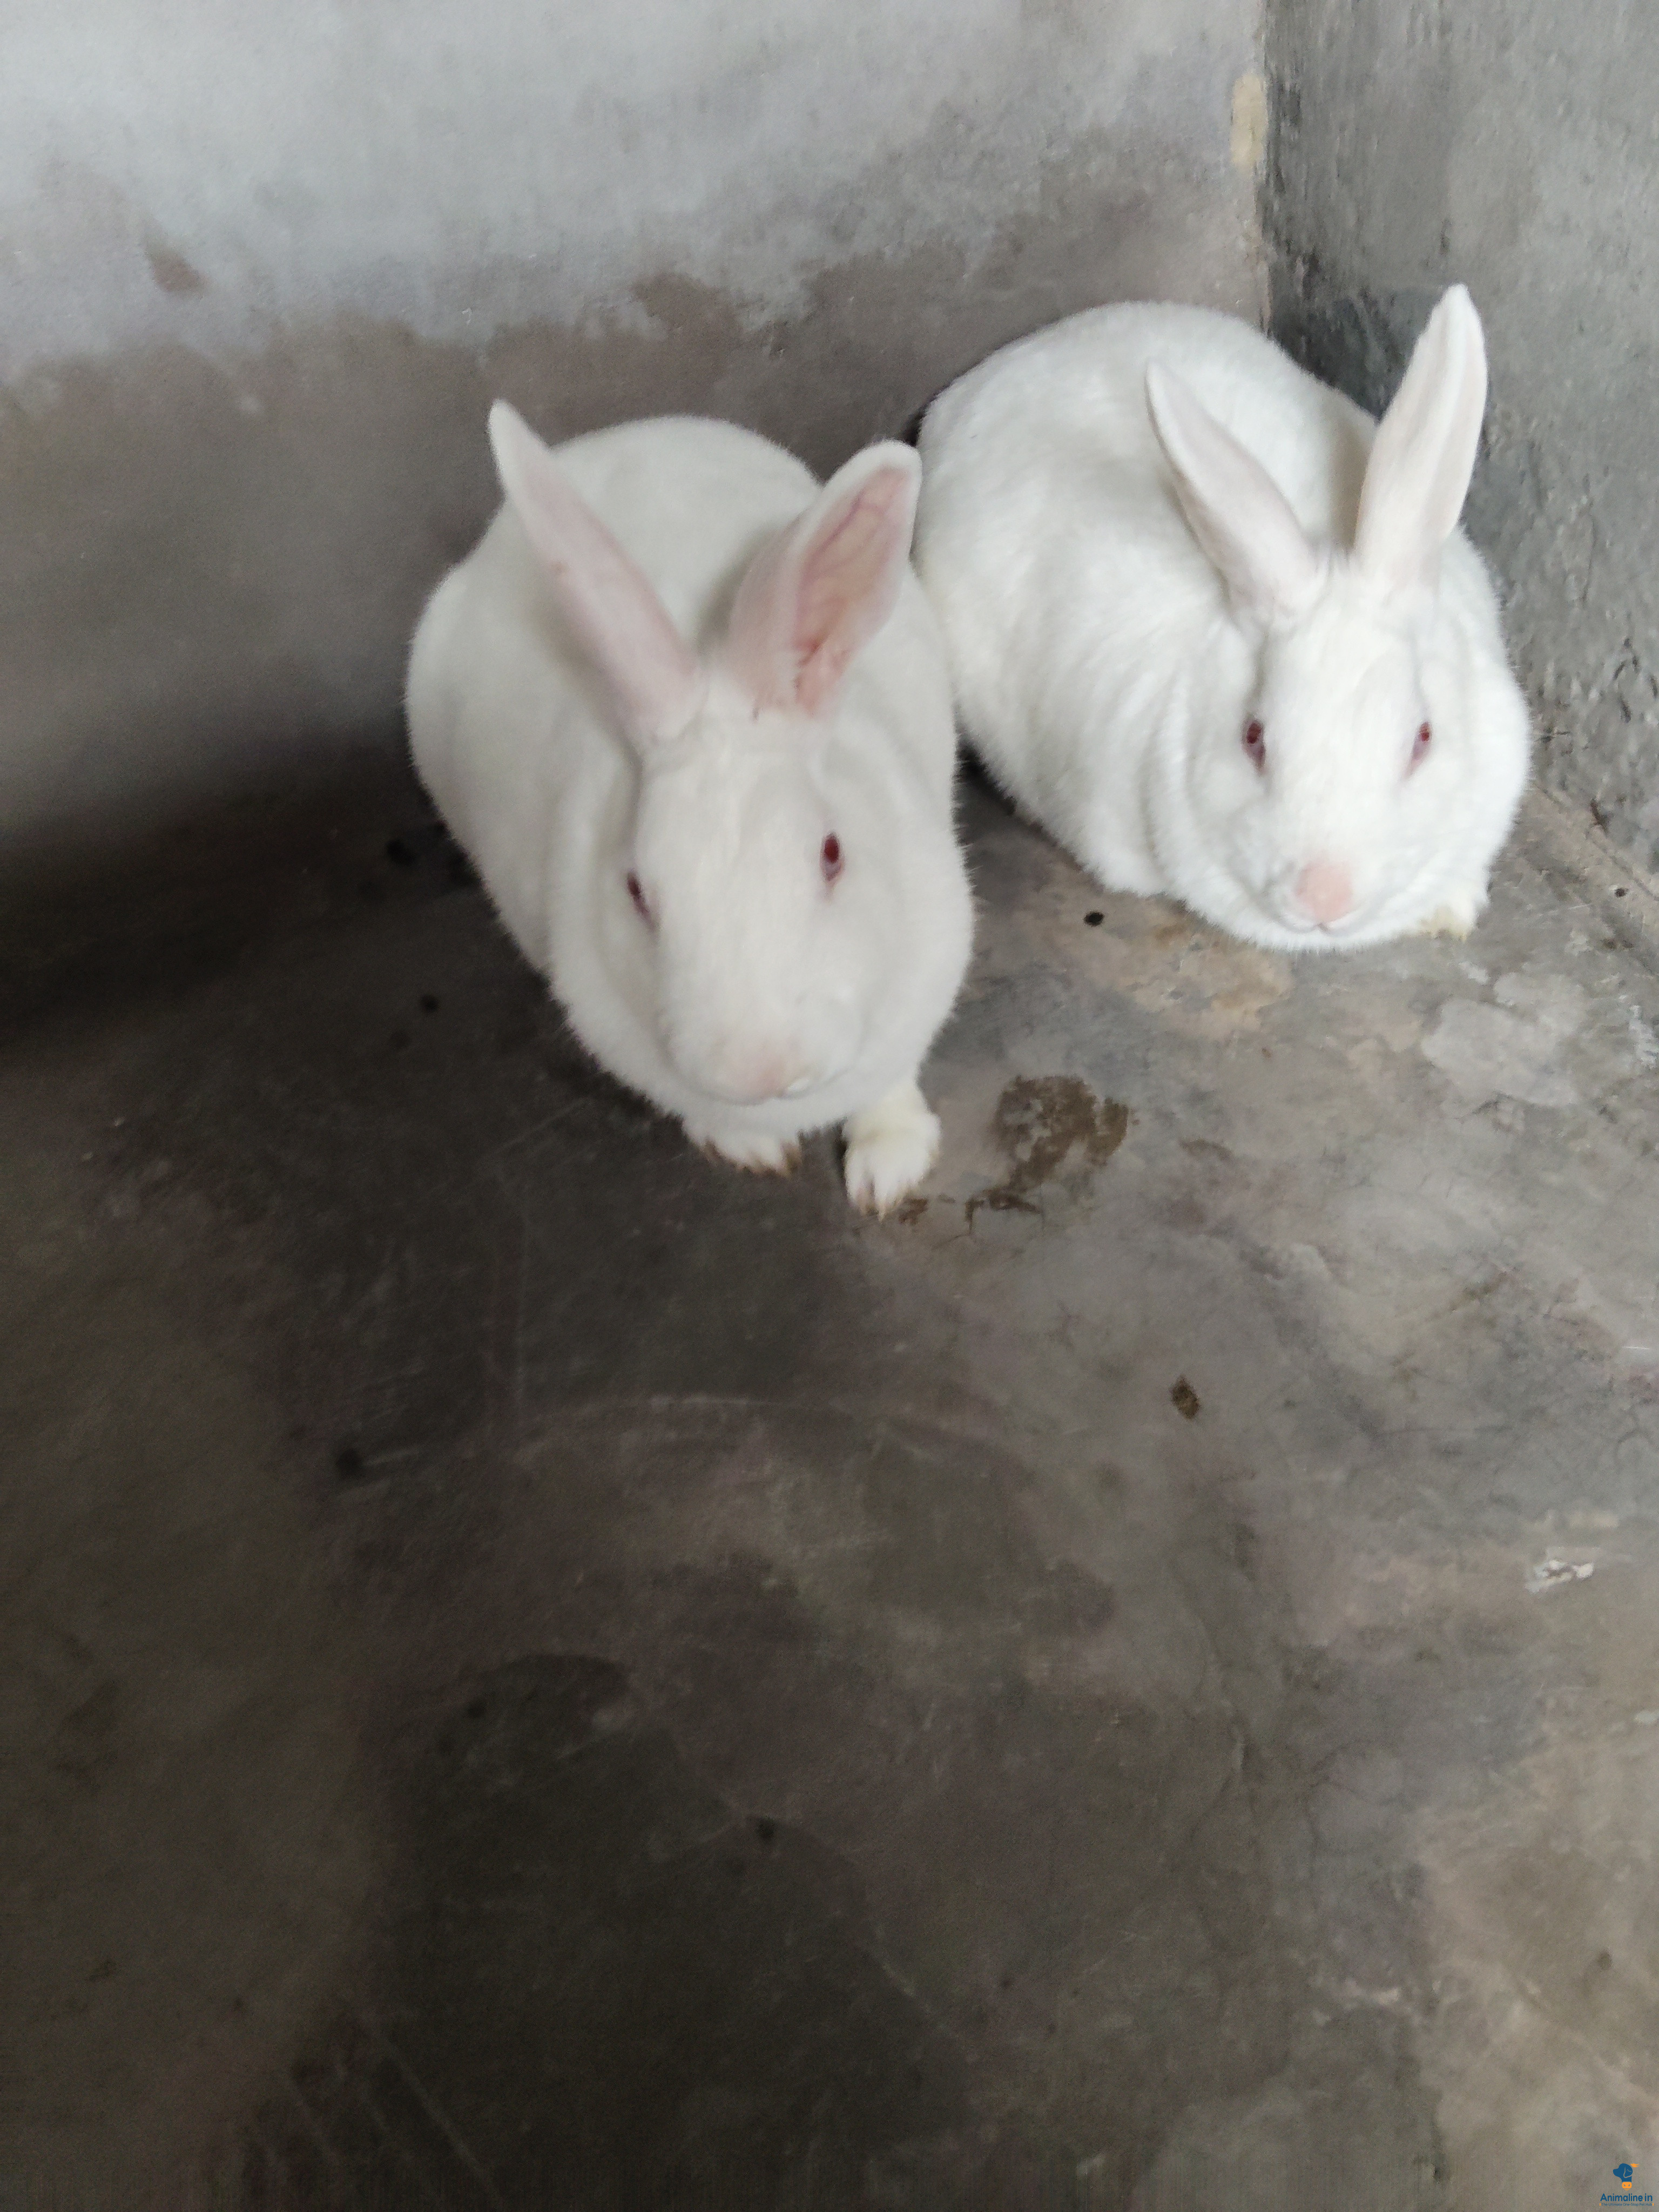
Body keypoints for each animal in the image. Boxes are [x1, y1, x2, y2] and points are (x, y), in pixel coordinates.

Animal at [406, 404, 974, 1213]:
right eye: (638, 890)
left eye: (833, 855)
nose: (759, 1070)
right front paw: (751, 1149)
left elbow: (892, 1084)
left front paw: (889, 1169)